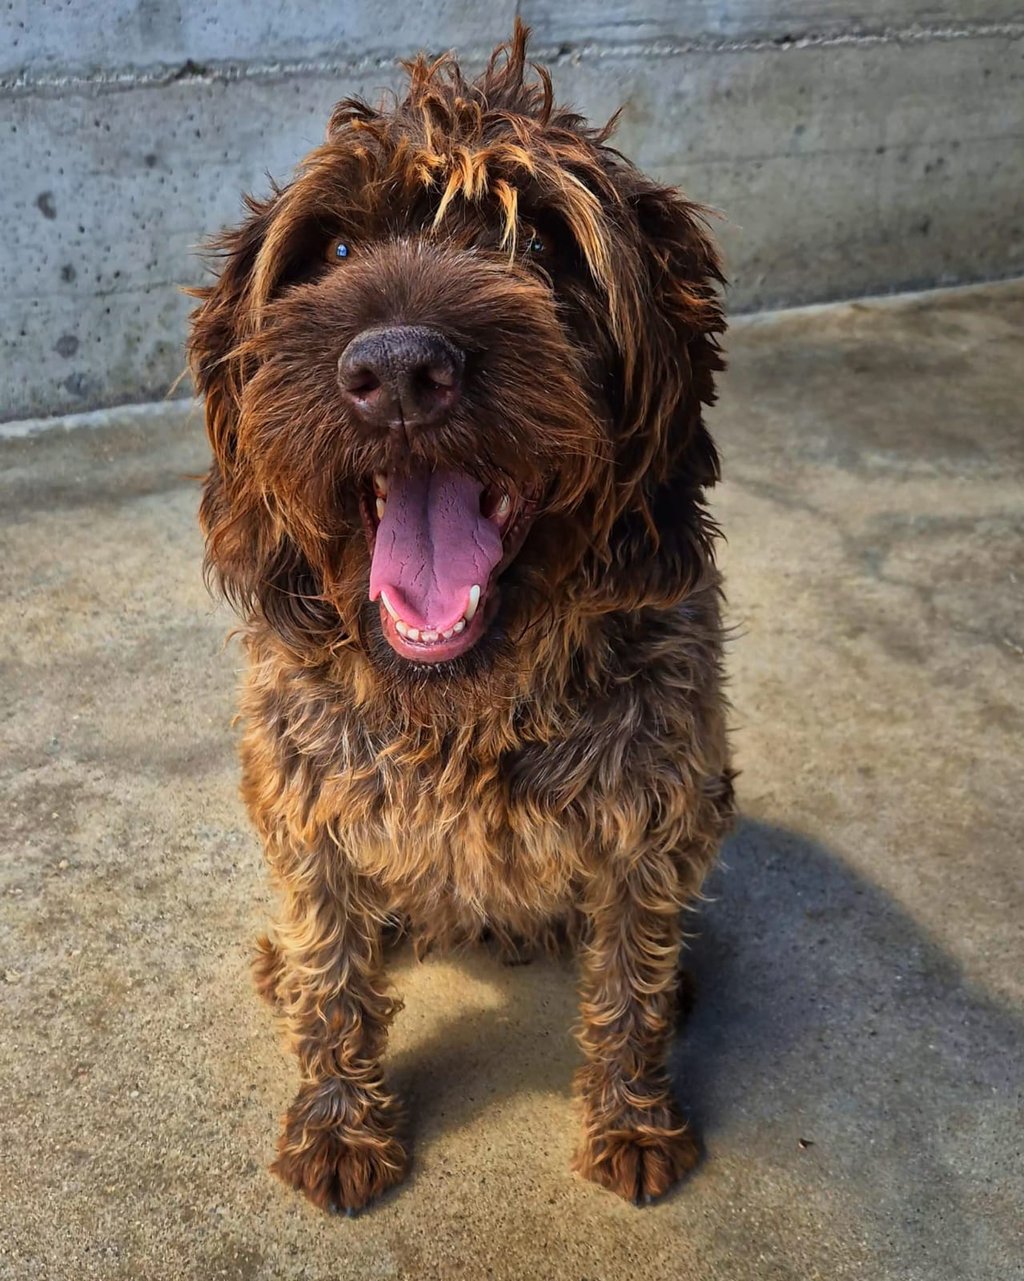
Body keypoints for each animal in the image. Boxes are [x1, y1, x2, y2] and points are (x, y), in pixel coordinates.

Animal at [188, 23, 734, 1213]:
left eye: (545, 246)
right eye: (334, 249)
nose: (397, 370)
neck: (466, 707)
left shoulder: (654, 818)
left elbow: (629, 985)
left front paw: (633, 1119)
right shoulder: (308, 812)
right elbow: (333, 979)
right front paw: (338, 1127)